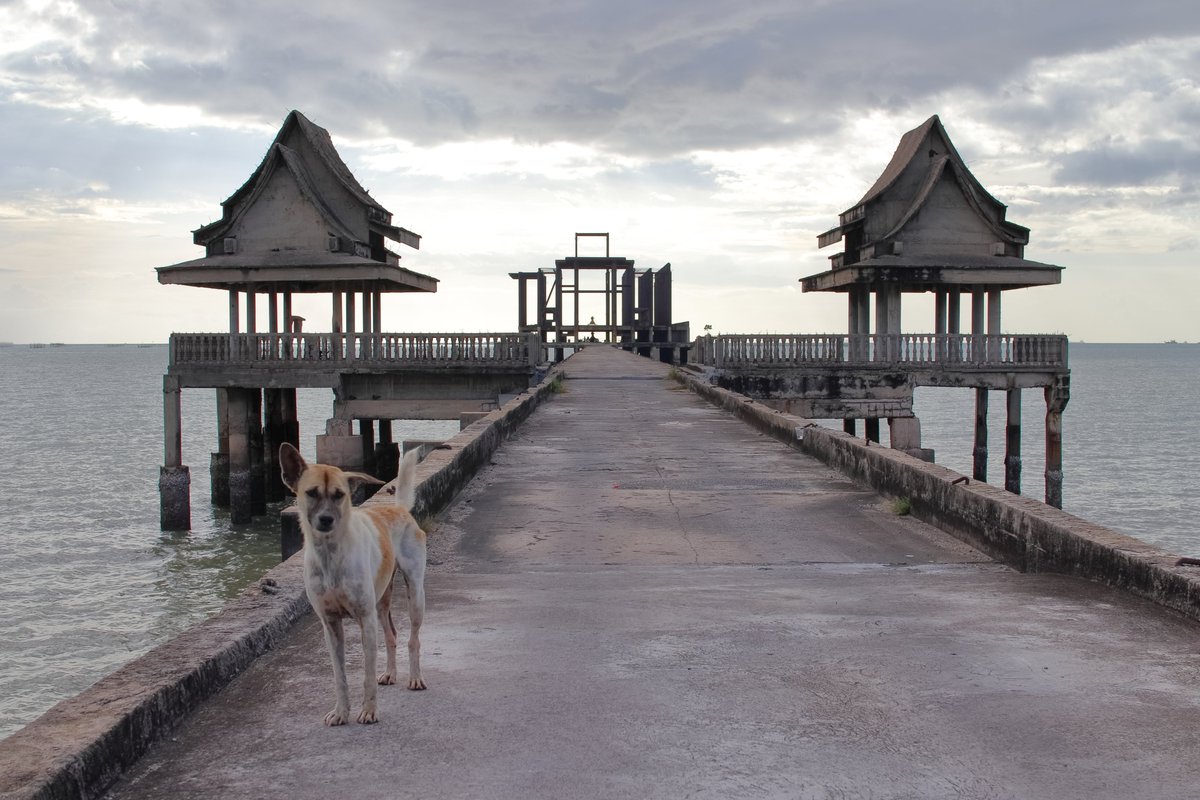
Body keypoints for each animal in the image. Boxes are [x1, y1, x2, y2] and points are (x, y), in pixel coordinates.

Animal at [278, 443, 429, 724]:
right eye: (311, 493)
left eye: (340, 495)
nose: (326, 519)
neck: (331, 555)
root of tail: (400, 509)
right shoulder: (330, 624)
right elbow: (340, 676)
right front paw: (340, 712)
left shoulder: (365, 619)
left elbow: (367, 674)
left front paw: (369, 711)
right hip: (382, 601)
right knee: (391, 635)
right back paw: (390, 673)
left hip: (415, 594)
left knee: (413, 639)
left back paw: (415, 677)